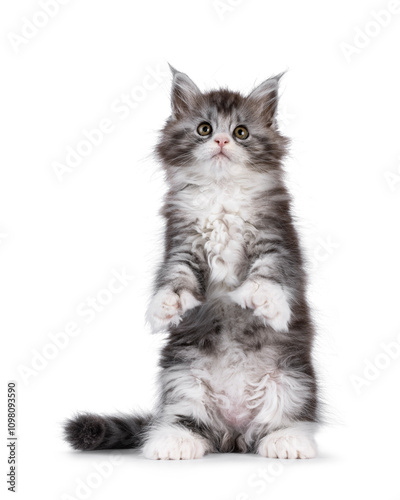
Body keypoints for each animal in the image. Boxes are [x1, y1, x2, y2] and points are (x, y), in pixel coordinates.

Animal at [65, 67, 318, 460]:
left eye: (241, 132)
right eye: (204, 128)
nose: (222, 142)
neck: (221, 196)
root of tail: (235, 433)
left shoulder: (277, 241)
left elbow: (269, 271)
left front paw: (262, 298)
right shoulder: (182, 244)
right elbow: (176, 275)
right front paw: (166, 305)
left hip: (292, 377)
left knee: (283, 420)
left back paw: (286, 441)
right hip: (182, 375)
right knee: (190, 422)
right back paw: (175, 442)